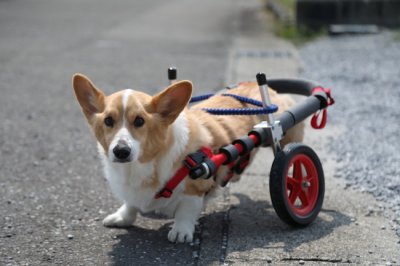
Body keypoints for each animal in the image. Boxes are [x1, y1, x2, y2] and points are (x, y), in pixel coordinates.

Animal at [72, 72, 304, 243]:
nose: (121, 151)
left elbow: (187, 209)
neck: (145, 164)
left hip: (284, 138)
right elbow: (130, 205)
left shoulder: (196, 185)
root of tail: (261, 87)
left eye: (139, 121)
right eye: (108, 121)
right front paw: (122, 217)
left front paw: (181, 231)